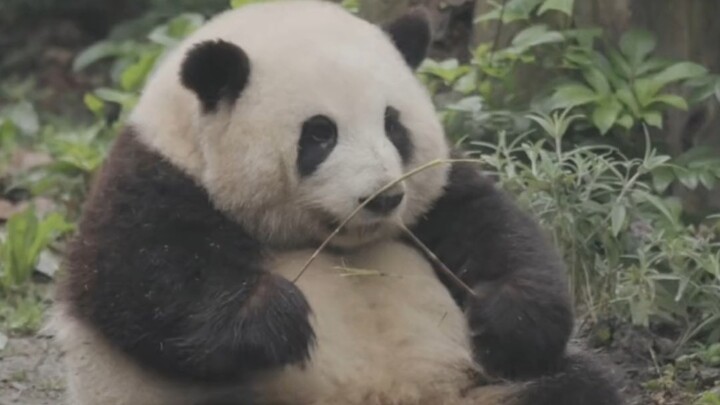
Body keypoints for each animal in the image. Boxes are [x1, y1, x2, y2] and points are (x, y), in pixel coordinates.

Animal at [52, 1, 623, 404]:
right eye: (320, 134)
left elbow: (494, 228)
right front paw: (276, 317)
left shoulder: (431, 192)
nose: (383, 197)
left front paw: (505, 315)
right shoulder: (155, 177)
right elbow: (138, 279)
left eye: (393, 125)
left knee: (576, 389)